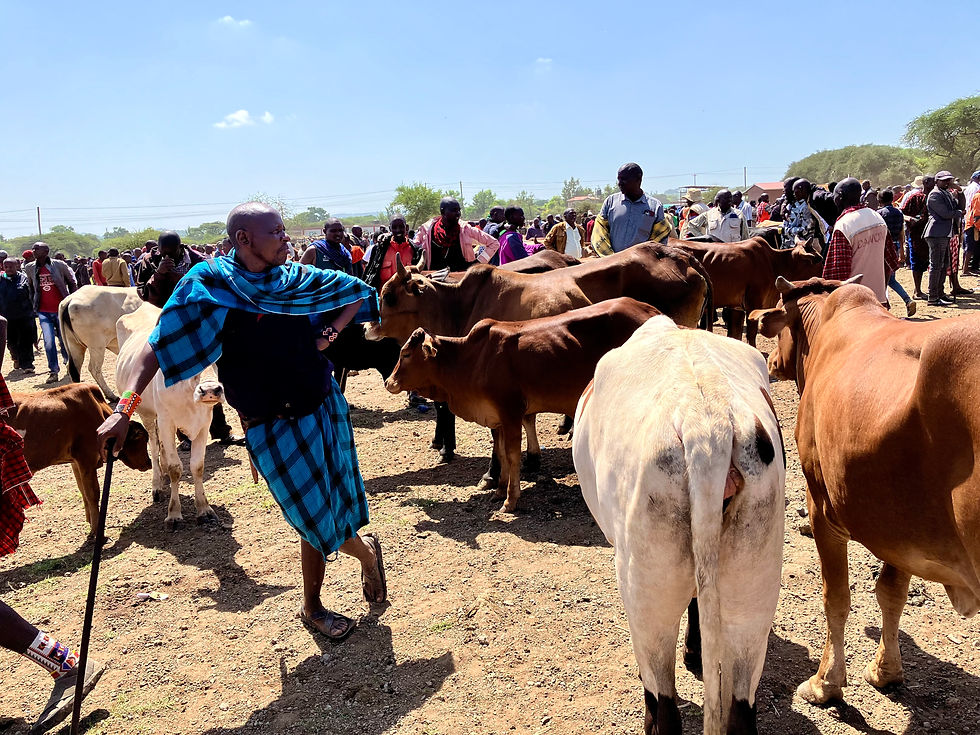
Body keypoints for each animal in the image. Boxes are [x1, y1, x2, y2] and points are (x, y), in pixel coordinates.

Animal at [8, 383, 152, 536]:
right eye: (142, 439)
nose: (149, 462)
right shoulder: (87, 460)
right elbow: (92, 494)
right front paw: (96, 529)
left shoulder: (75, 462)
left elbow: (83, 491)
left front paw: (90, 520)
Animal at [116, 303, 224, 530]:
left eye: (217, 356)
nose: (210, 390)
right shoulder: (167, 421)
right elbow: (176, 468)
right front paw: (174, 514)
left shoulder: (203, 424)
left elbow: (197, 466)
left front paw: (204, 510)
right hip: (148, 415)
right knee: (155, 446)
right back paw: (157, 484)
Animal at [385, 298, 662, 511]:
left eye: (405, 354)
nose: (389, 382)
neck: (472, 360)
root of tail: (650, 311)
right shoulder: (496, 417)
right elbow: (499, 452)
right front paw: (498, 490)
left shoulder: (511, 413)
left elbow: (512, 454)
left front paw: (510, 500)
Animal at [674, 235, 823, 347]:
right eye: (817, 260)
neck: (774, 262)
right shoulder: (753, 304)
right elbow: (751, 333)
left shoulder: (737, 307)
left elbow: (735, 334)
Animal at [750, 276, 980, 708]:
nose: (770, 361)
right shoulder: (901, 528)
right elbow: (892, 593)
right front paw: (885, 671)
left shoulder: (823, 508)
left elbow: (836, 598)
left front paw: (825, 682)